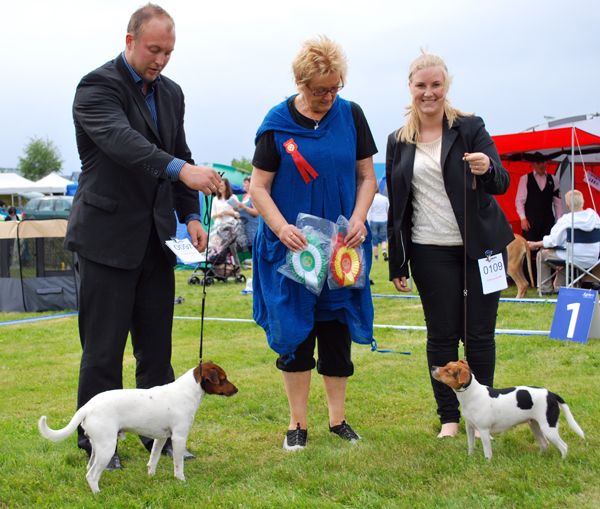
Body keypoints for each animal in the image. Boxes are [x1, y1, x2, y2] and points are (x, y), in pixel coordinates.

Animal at [39, 361, 238, 493]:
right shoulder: (179, 437)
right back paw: (98, 495)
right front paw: (180, 479)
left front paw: (152, 477)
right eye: (223, 379)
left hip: (97, 445)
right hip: (107, 447)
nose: (236, 390)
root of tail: (87, 407)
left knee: (89, 468)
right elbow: (178, 463)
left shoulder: (161, 437)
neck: (186, 391)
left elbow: (154, 458)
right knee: (92, 474)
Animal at [431, 360, 584, 459]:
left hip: (548, 428)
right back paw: (539, 457)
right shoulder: (470, 428)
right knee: (544, 443)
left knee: (563, 446)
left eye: (447, 371)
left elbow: (487, 451)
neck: (472, 393)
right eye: (446, 365)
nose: (432, 367)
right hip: (535, 426)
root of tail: (551, 394)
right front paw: (470, 457)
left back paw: (562, 461)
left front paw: (487, 463)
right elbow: (471, 445)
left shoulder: (484, 431)